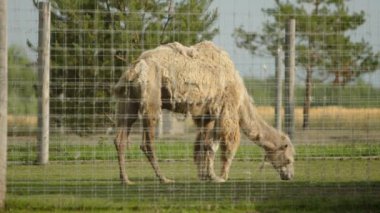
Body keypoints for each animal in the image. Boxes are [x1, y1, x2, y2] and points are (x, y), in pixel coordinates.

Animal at [114, 40, 296, 184]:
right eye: (288, 159)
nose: (289, 176)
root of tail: (134, 69)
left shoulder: (206, 114)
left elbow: (204, 144)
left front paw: (205, 175)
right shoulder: (227, 108)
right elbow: (226, 144)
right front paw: (220, 176)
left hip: (128, 100)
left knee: (120, 138)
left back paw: (126, 179)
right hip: (151, 94)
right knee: (147, 141)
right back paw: (164, 178)